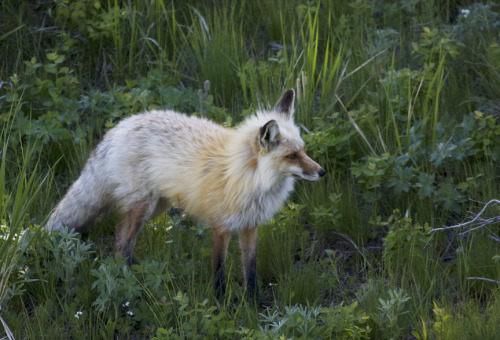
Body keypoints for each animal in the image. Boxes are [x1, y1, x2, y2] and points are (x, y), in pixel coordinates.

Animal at [46, 89, 324, 298]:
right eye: (292, 156)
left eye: (303, 150)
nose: (322, 172)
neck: (249, 177)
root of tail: (119, 127)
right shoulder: (221, 227)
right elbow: (219, 271)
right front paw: (220, 303)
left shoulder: (250, 227)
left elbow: (251, 271)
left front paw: (253, 304)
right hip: (144, 206)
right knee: (122, 241)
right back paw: (129, 280)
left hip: (156, 206)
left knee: (119, 234)